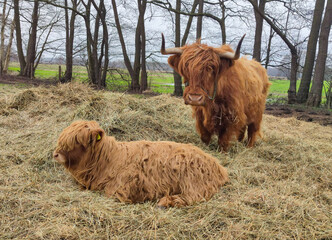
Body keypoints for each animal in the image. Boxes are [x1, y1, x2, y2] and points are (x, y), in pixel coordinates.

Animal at [53, 121, 230, 207]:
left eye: (77, 141)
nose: (55, 154)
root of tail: (219, 166)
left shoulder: (121, 187)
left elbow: (110, 194)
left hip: (192, 180)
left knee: (193, 196)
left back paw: (165, 202)